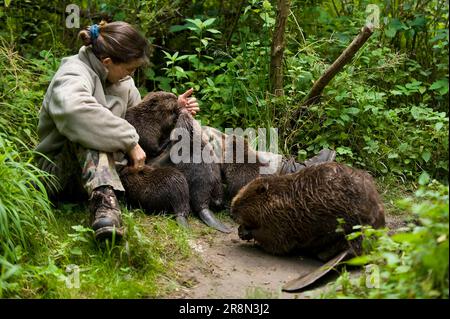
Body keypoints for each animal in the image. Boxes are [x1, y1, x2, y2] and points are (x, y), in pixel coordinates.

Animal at [230, 164, 384, 258]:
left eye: (243, 201)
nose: (232, 213)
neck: (282, 195)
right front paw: (241, 229)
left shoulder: (280, 220)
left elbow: (275, 241)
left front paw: (244, 231)